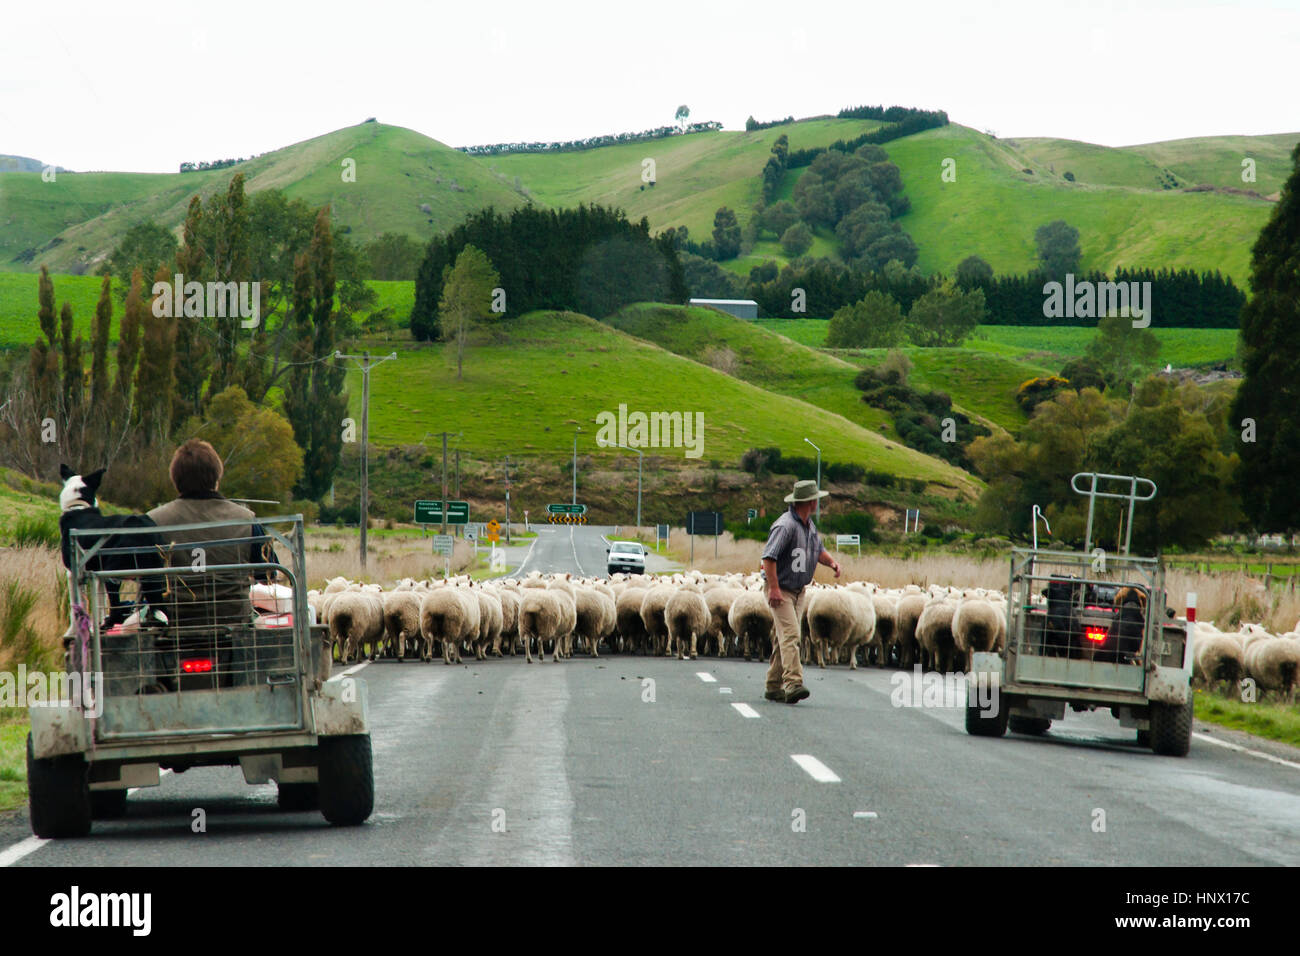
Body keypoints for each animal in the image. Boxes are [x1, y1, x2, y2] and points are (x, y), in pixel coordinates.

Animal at [57, 463, 167, 629]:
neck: (78, 507)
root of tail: (142, 529)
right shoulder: (96, 576)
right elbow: (100, 603)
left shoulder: (73, 574)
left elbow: (76, 606)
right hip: (153, 576)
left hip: (114, 574)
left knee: (116, 611)